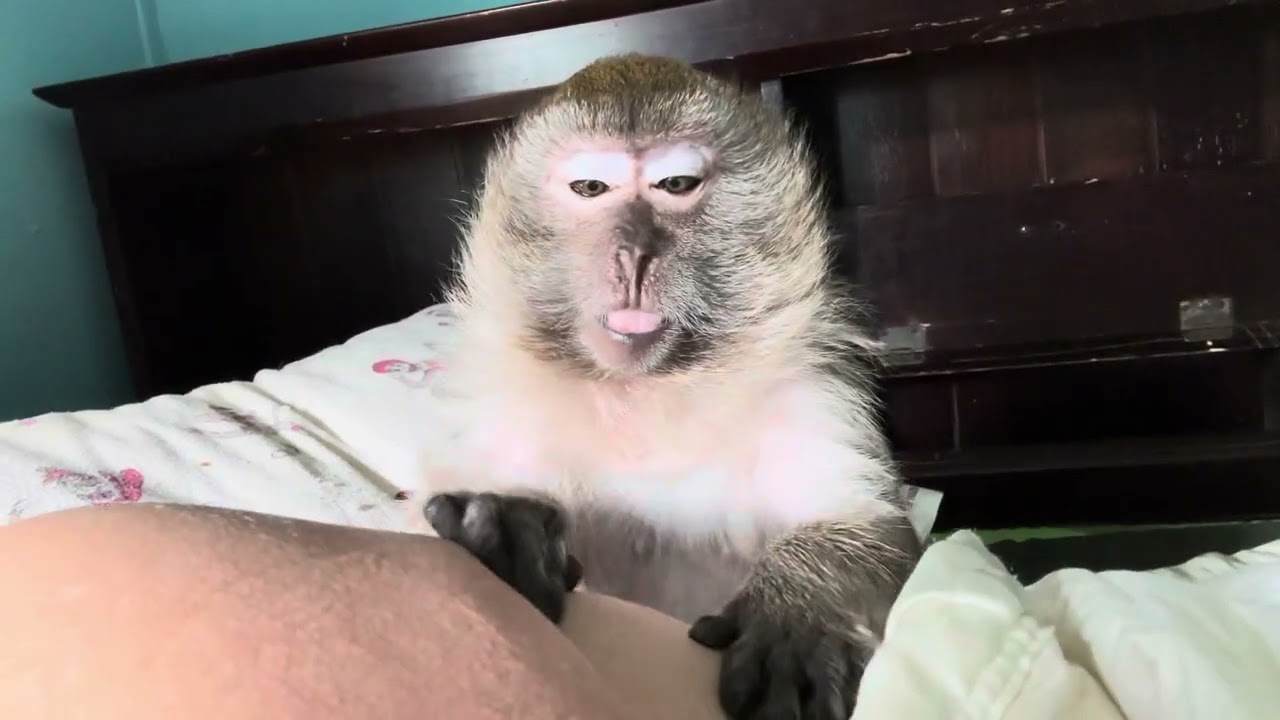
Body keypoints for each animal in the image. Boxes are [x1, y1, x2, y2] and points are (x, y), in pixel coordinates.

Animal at [415, 54, 923, 720]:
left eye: (676, 184)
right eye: (590, 189)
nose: (632, 255)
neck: (652, 397)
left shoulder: (813, 389)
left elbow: (881, 536)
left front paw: (800, 608)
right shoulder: (506, 411)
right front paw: (499, 535)